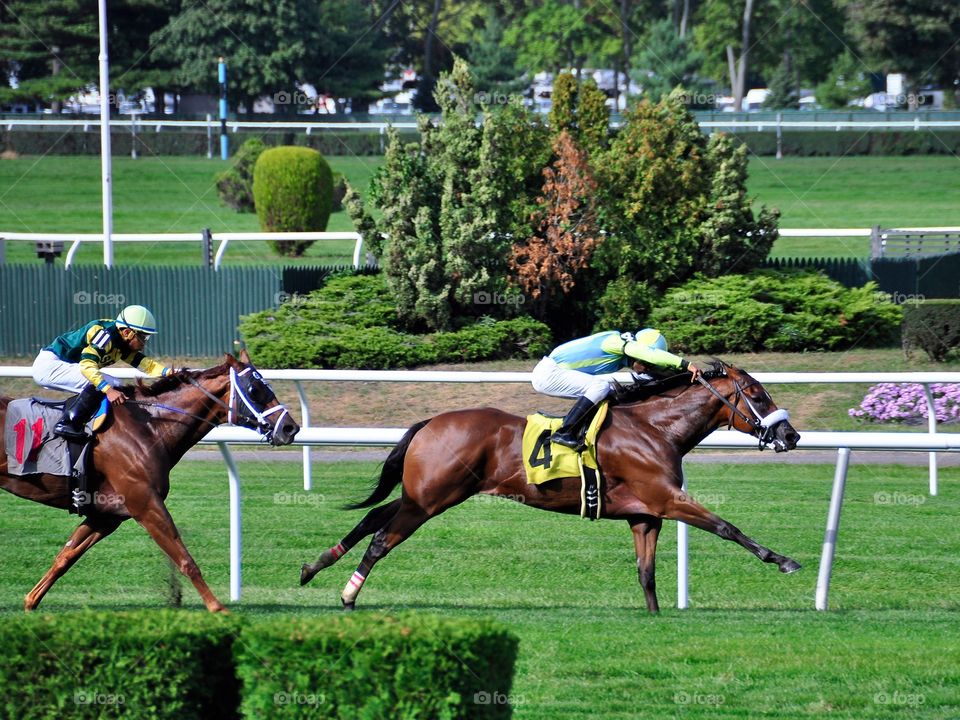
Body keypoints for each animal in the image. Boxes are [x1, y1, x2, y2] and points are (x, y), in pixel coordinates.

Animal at [0, 352, 298, 612]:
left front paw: (30, 602)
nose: (290, 428)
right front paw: (218, 609)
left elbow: (65, 556)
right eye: (255, 389)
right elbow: (185, 559)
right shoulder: (145, 503)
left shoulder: (107, 515)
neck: (149, 427)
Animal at [302, 362, 804, 612]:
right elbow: (726, 527)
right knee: (382, 539)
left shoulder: (644, 515)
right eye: (757, 395)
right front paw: (783, 560)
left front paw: (656, 618)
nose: (792, 435)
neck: (655, 429)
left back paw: (313, 566)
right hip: (431, 499)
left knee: (374, 517)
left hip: (424, 495)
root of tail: (431, 421)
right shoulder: (667, 499)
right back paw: (347, 596)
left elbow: (646, 573)